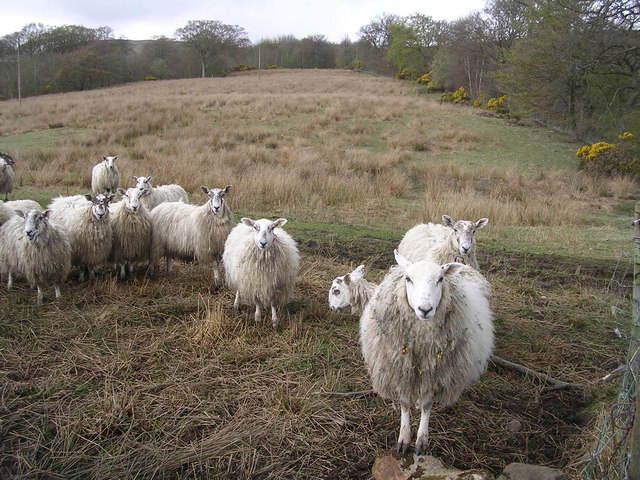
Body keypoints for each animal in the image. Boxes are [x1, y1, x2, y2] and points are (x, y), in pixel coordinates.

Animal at [360, 249, 496, 456]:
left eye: (440, 279)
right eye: (408, 278)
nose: (425, 309)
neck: (420, 340)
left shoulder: (433, 375)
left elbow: (426, 405)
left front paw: (421, 440)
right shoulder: (401, 371)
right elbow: (405, 403)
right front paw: (403, 438)